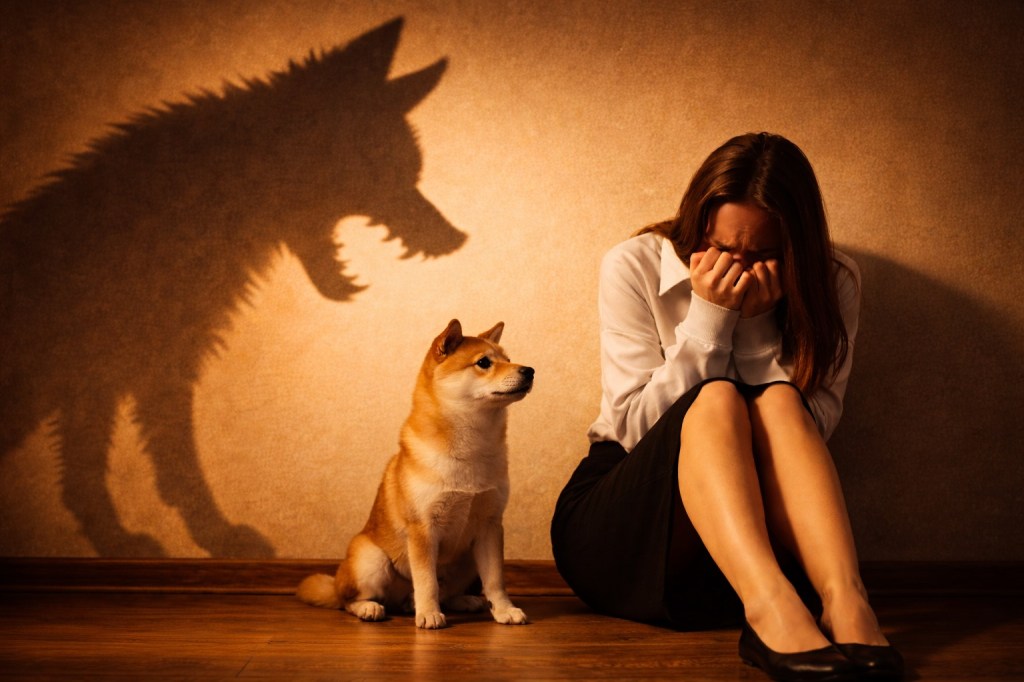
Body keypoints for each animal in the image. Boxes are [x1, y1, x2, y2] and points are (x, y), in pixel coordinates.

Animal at [298, 319, 533, 629]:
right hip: (372, 560)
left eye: (508, 359)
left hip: (468, 561)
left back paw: (462, 601)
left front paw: (505, 610)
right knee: (349, 600)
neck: (472, 449)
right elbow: (427, 582)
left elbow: (495, 580)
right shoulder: (422, 529)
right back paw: (371, 607)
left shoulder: (490, 525)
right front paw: (429, 613)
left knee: (448, 591)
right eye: (484, 362)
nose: (529, 370)